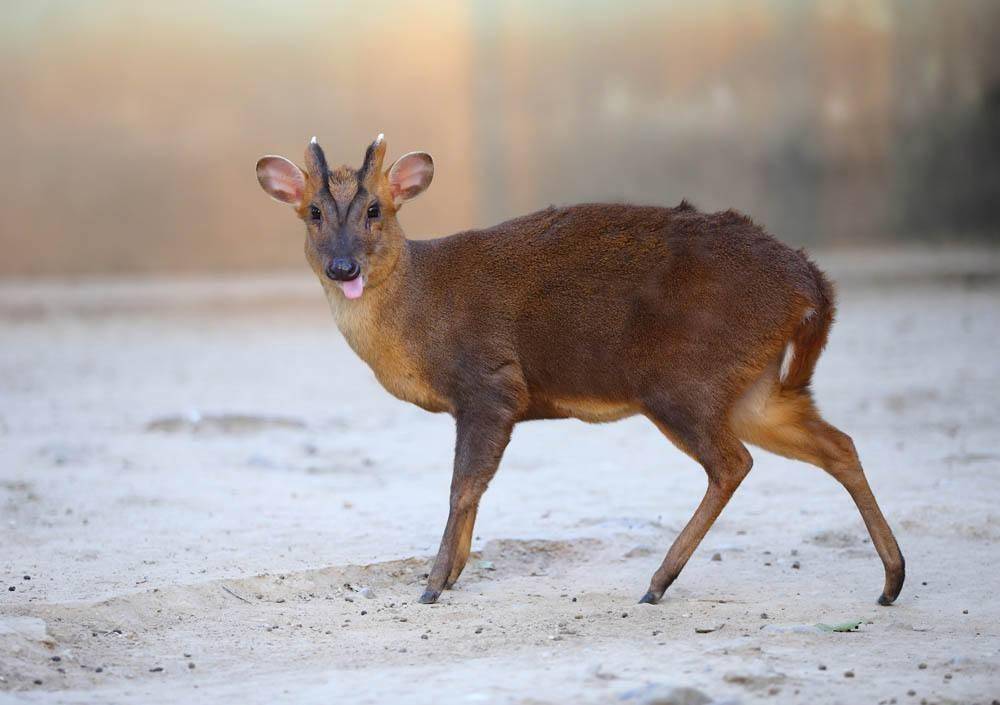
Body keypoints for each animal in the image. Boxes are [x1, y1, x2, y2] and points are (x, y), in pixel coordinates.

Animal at [252, 136, 908, 604]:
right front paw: (453, 572)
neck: (419, 313)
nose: (343, 267)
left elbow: (465, 484)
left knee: (733, 463)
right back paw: (892, 580)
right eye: (313, 212)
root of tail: (811, 283)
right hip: (754, 386)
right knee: (838, 444)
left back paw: (657, 582)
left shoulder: (491, 382)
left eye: (375, 209)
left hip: (683, 379)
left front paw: (435, 583)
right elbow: (472, 487)